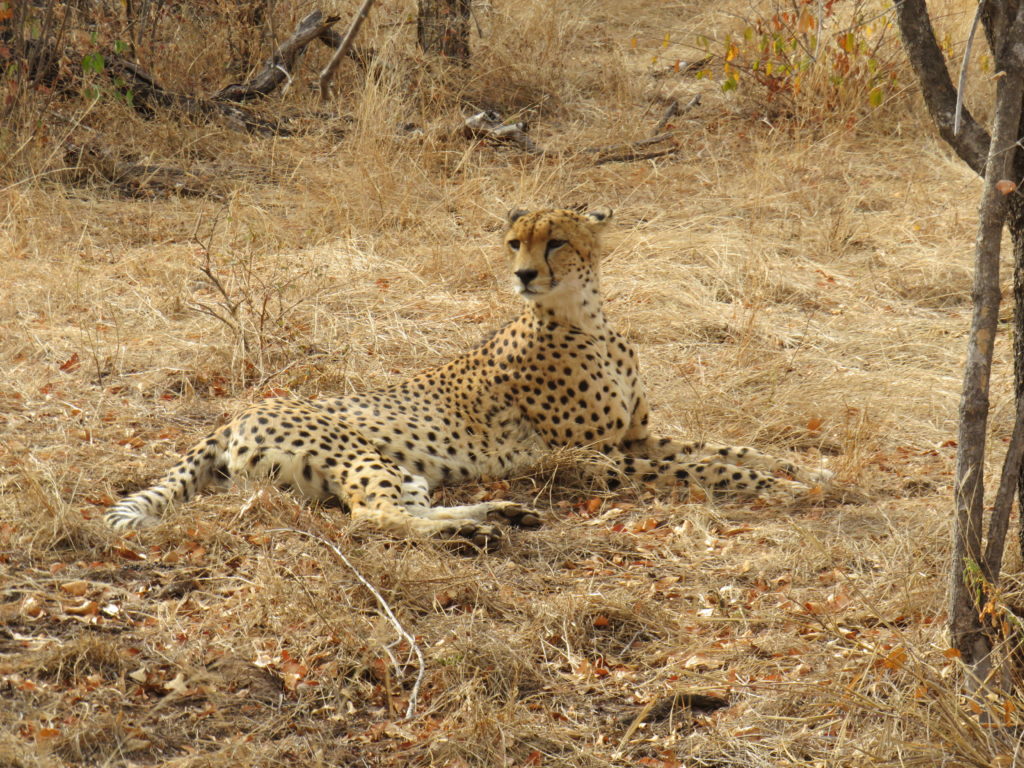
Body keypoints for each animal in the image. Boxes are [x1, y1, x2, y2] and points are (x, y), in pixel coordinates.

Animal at [105, 207, 831, 548]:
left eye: (556, 241)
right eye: (515, 243)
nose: (523, 274)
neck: (588, 317)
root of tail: (235, 415)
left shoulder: (634, 438)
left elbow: (726, 447)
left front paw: (804, 467)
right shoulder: (591, 458)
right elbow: (705, 467)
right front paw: (785, 488)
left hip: (399, 467)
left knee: (407, 505)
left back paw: (502, 513)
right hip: (358, 453)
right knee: (374, 516)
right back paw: (477, 530)